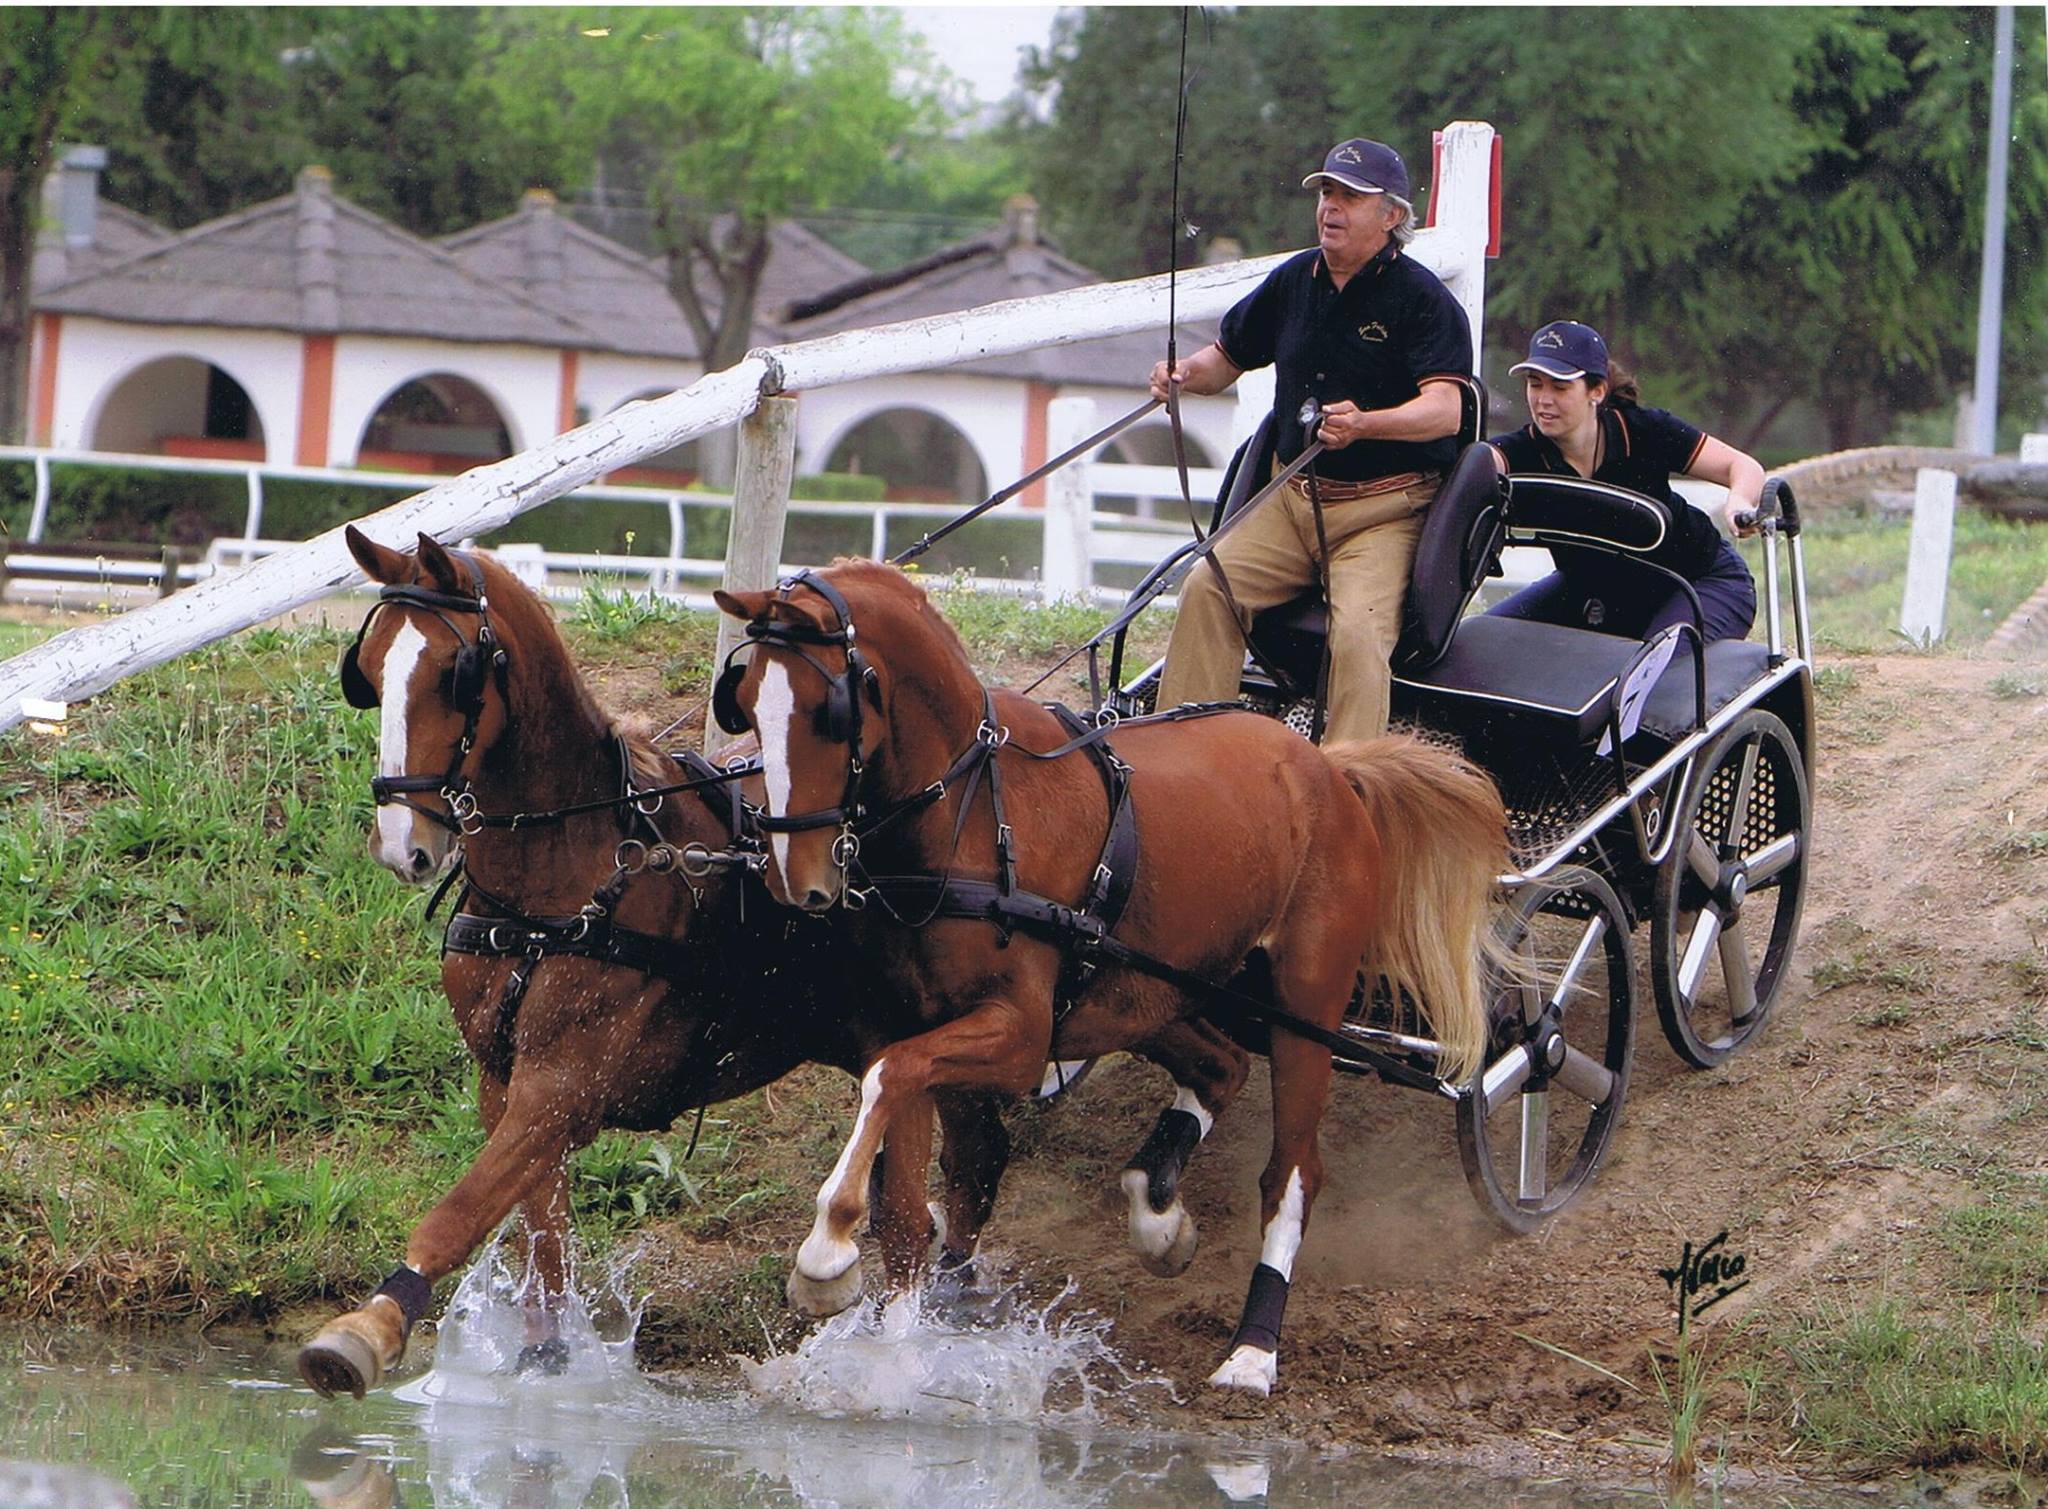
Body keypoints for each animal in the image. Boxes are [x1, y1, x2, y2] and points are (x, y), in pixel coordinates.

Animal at [296, 532, 921, 1400]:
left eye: (454, 673)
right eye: (370, 668)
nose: (402, 845)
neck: (559, 880)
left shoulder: (560, 1084)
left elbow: (461, 1210)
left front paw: (370, 1326)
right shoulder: (506, 1085)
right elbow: (545, 1242)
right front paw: (545, 1361)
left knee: (917, 1223)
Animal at [716, 561, 1507, 1392]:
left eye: (828, 710)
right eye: (745, 700)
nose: (792, 877)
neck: (973, 815)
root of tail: (1330, 766)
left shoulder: (1019, 1037)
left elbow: (891, 1081)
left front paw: (825, 1254)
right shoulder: (908, 1023)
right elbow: (901, 1193)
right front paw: (893, 1356)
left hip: (1306, 1010)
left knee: (1292, 1174)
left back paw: (1254, 1347)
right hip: (1151, 993)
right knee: (1221, 1066)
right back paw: (1156, 1210)